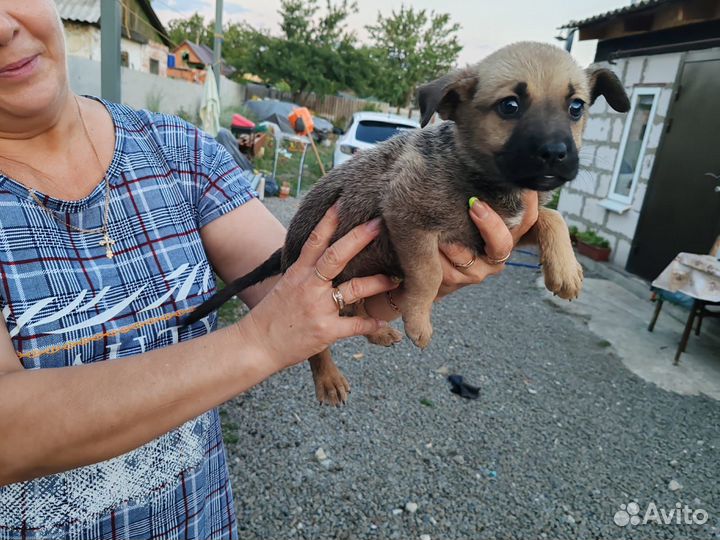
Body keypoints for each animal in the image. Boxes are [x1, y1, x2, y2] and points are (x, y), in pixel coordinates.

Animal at [184, 41, 632, 404]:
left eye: (577, 107)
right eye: (510, 106)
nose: (556, 154)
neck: (482, 175)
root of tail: (288, 247)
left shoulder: (505, 230)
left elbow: (552, 217)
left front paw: (566, 270)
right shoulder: (405, 215)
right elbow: (428, 274)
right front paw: (420, 320)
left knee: (352, 312)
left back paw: (378, 331)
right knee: (315, 341)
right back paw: (328, 377)